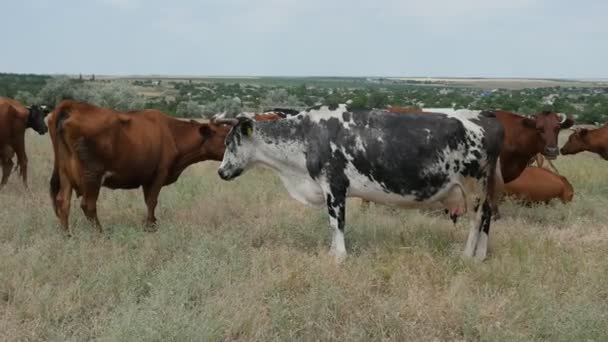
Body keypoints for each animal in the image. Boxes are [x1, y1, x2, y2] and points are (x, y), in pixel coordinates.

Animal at [47, 99, 232, 235]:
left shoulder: (146, 177)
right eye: (225, 135)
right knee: (88, 205)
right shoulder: (159, 174)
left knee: (63, 202)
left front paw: (151, 223)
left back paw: (66, 235)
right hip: (92, 175)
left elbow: (148, 201)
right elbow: (152, 201)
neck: (172, 133)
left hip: (65, 174)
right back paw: (101, 233)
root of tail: (73, 105)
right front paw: (150, 227)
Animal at [216, 104, 502, 262]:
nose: (220, 171)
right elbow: (332, 224)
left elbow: (337, 222)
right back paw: (481, 255)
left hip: (474, 184)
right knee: (487, 215)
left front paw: (339, 256)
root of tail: (484, 119)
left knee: (477, 219)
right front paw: (332, 252)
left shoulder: (334, 185)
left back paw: (467, 255)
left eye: (229, 142)